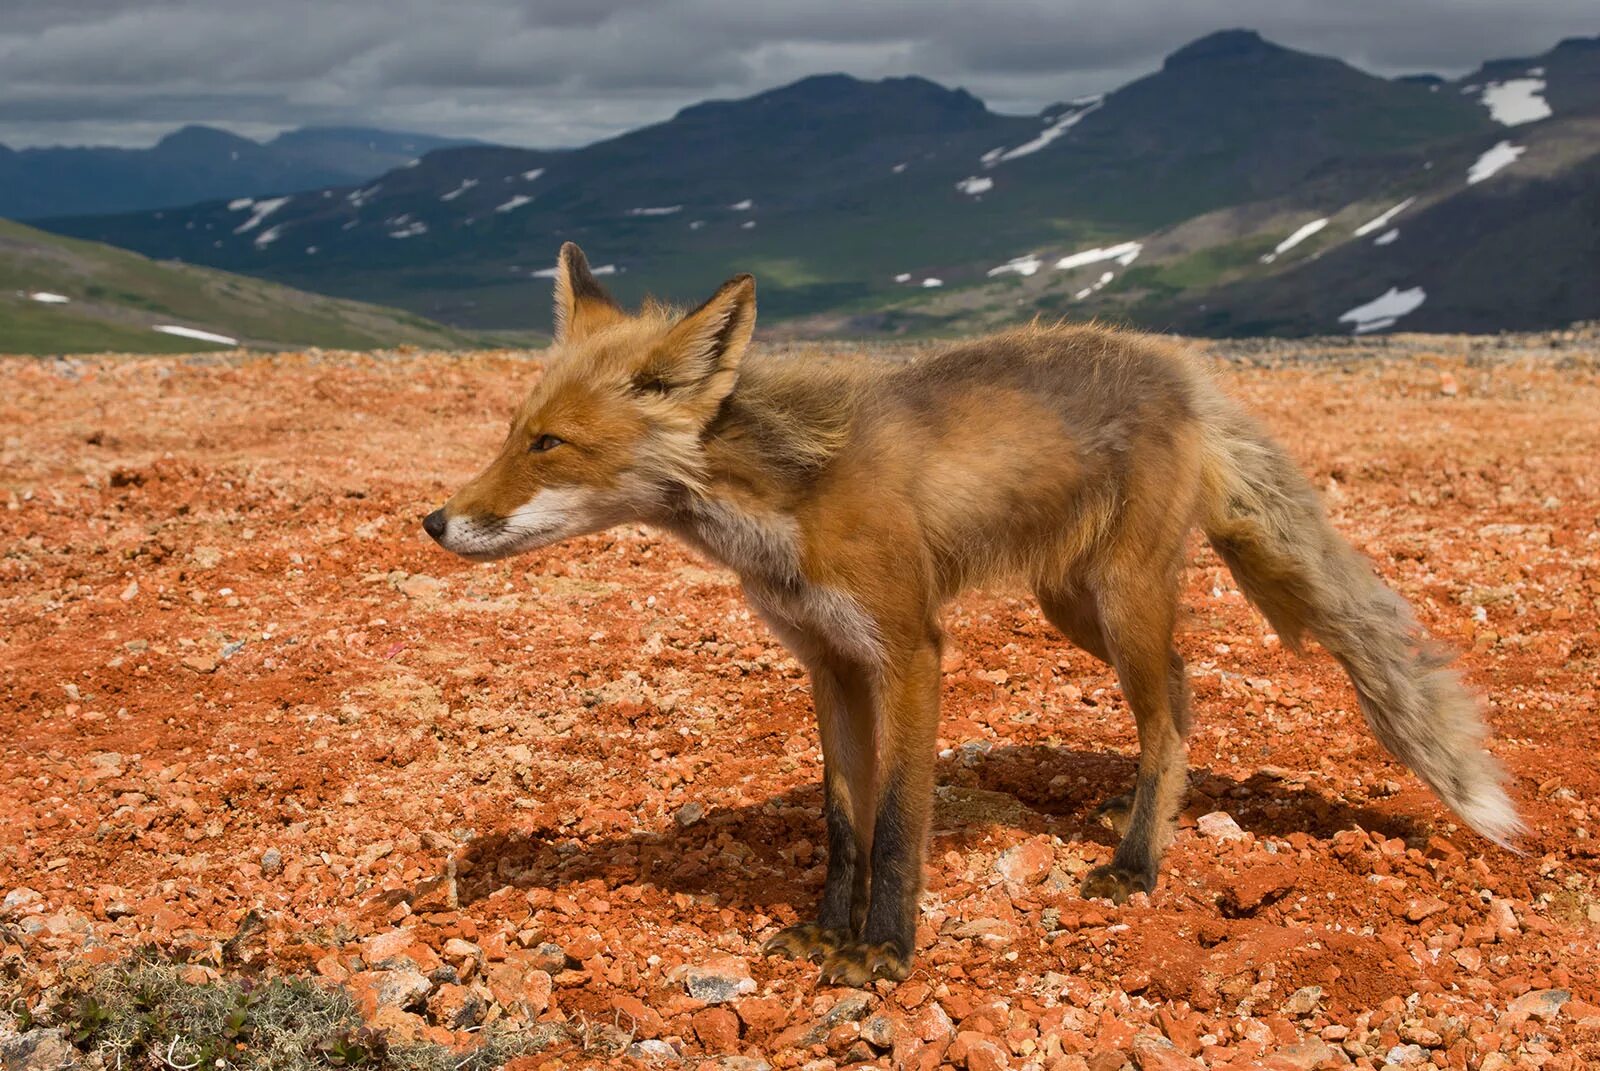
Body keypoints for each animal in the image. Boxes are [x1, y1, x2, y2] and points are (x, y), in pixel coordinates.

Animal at [425, 241, 1523, 986]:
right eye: (513, 431)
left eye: (550, 445)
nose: (436, 520)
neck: (788, 500)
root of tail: (1181, 370)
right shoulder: (826, 661)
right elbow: (842, 820)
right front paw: (828, 929)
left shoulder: (910, 649)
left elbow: (898, 821)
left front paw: (884, 950)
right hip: (1074, 603)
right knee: (1179, 696)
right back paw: (1138, 828)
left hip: (1122, 598)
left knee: (1170, 708)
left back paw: (1136, 865)